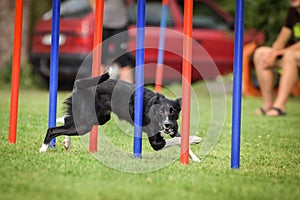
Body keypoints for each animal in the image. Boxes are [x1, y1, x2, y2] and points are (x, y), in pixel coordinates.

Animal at [38, 72, 200, 161]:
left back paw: (66, 142)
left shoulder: (173, 129)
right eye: (161, 111)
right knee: (53, 129)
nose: (167, 125)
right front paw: (195, 139)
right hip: (87, 123)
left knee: (66, 120)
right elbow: (177, 140)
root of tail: (79, 84)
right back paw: (43, 149)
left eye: (173, 111)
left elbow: (180, 139)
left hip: (97, 119)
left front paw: (196, 159)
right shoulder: (156, 142)